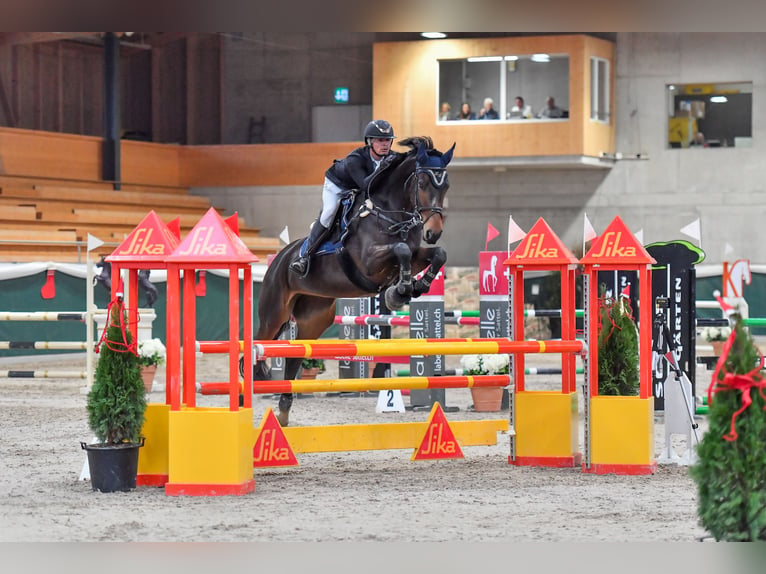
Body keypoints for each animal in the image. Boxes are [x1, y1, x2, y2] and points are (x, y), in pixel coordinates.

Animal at [252, 136, 456, 428]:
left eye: (446, 184)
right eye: (422, 183)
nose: (433, 231)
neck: (390, 213)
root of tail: (279, 257)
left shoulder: (417, 253)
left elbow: (437, 254)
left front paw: (412, 287)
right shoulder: (369, 262)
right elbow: (401, 250)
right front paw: (400, 291)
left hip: (313, 318)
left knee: (295, 357)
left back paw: (283, 411)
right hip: (274, 312)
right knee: (258, 344)